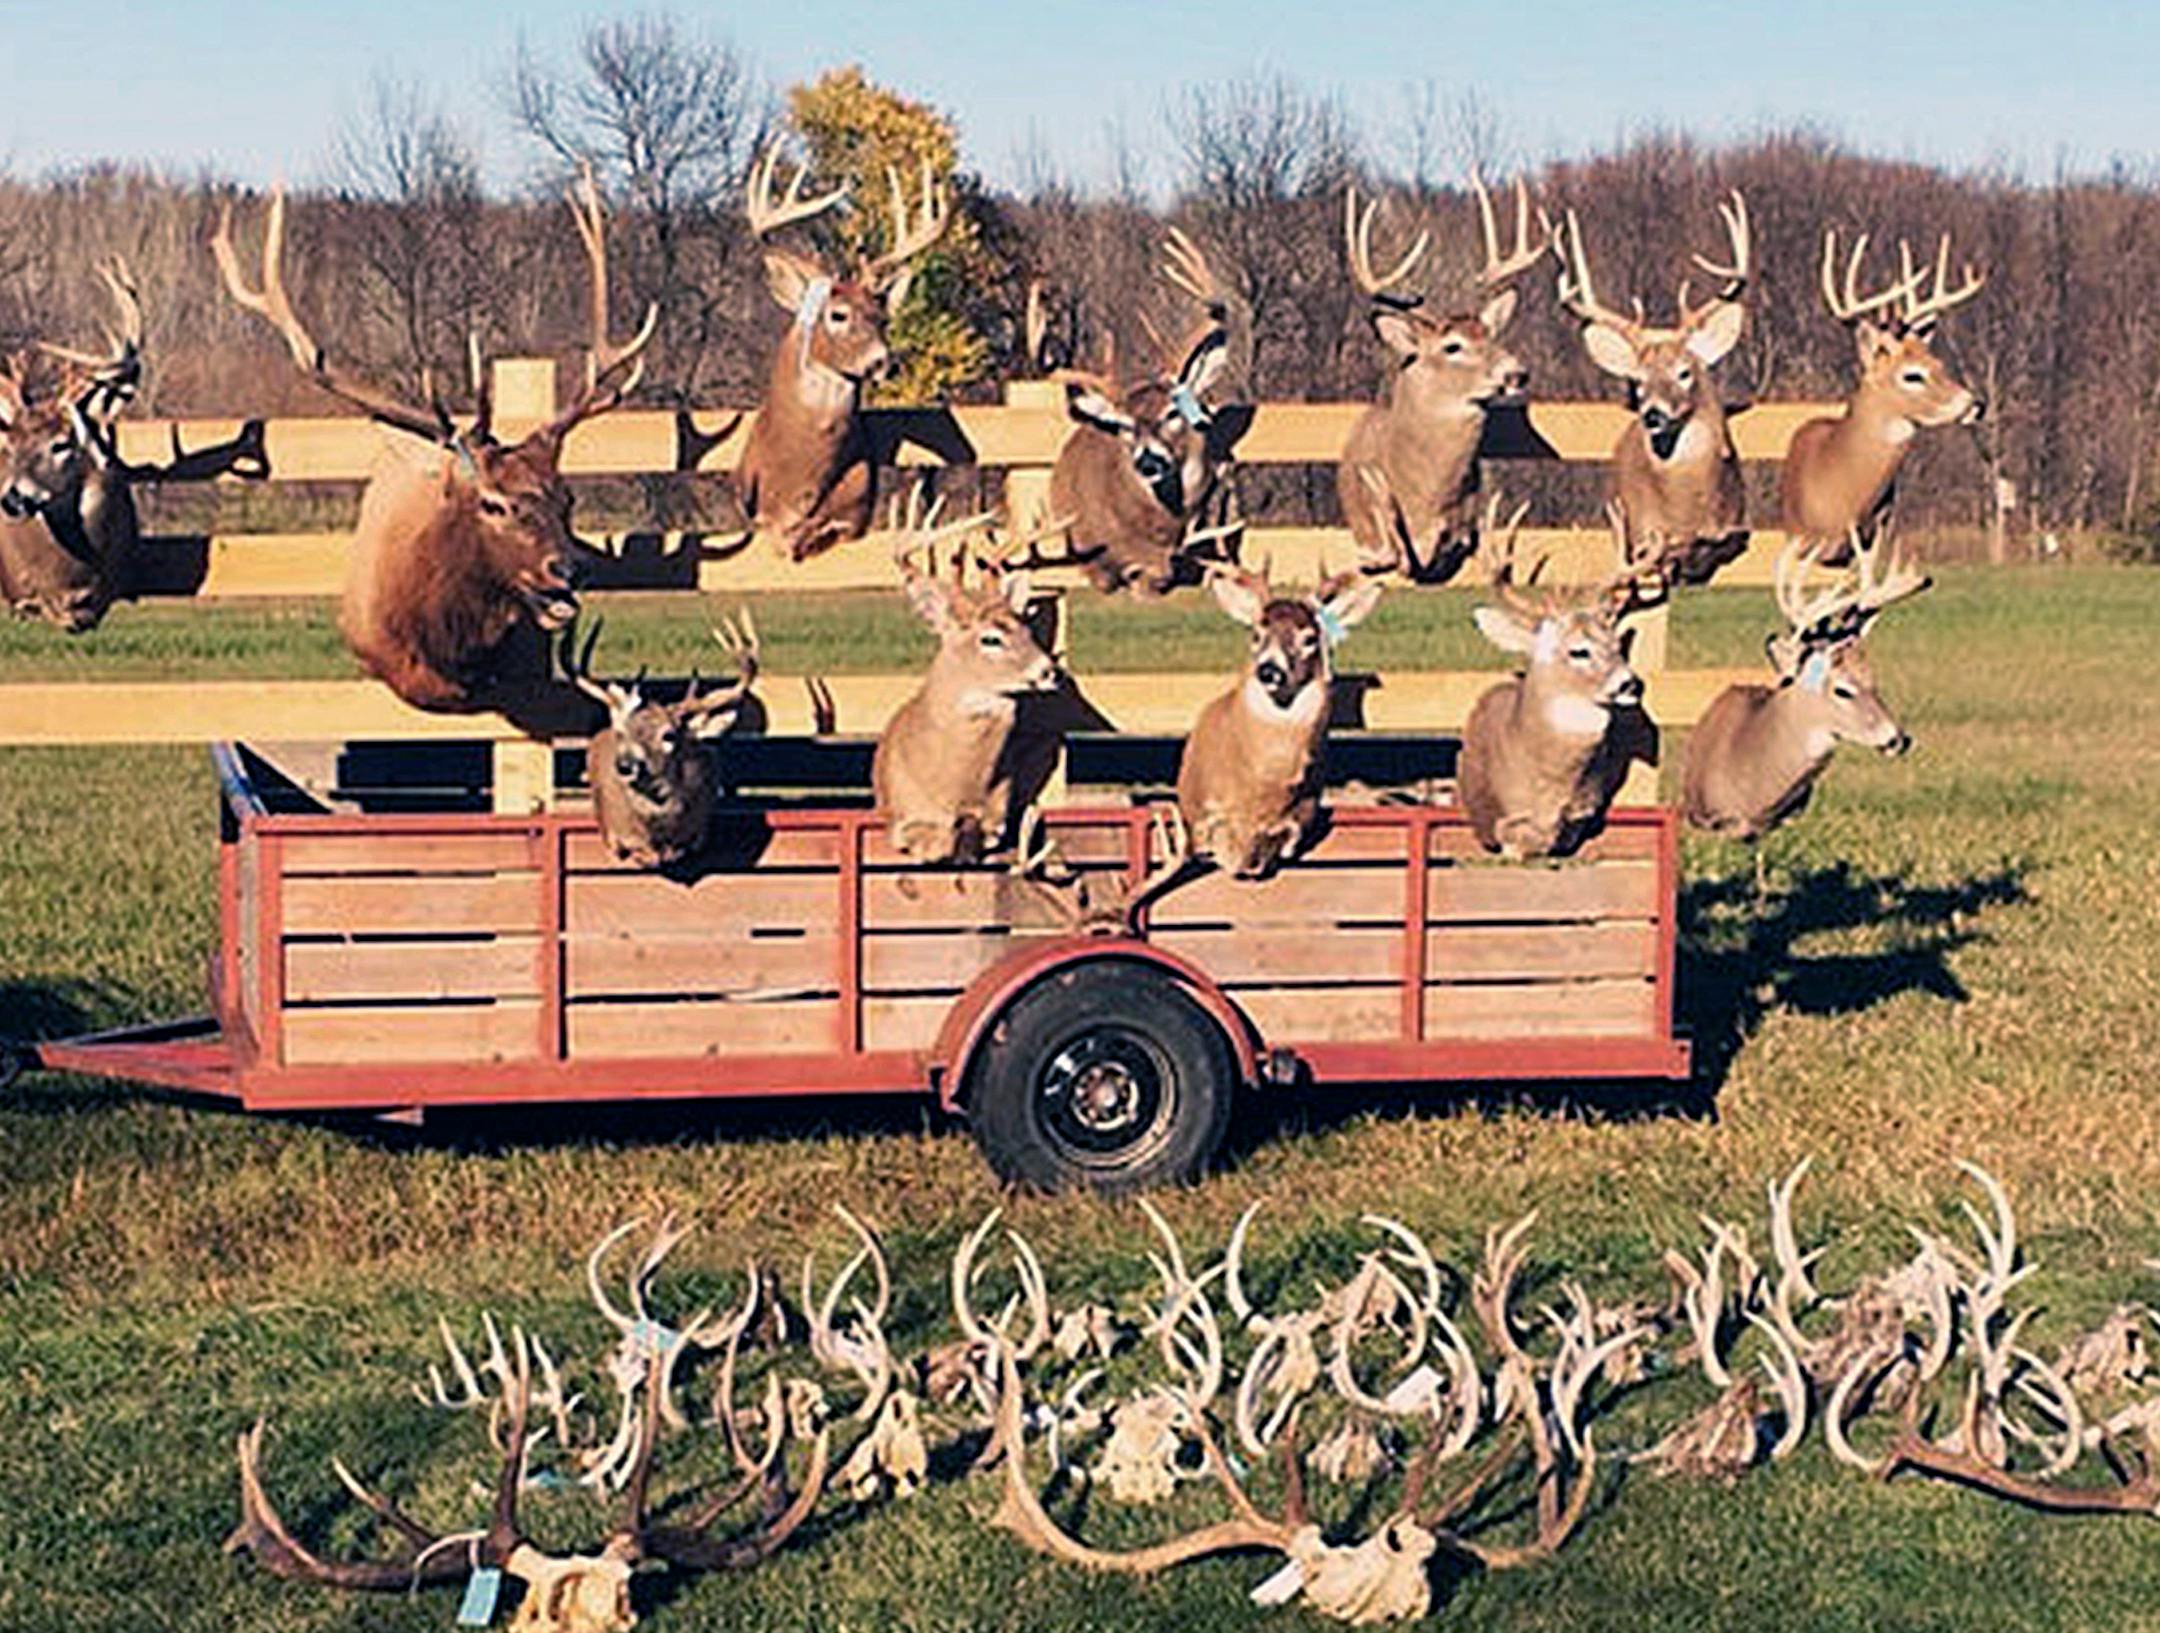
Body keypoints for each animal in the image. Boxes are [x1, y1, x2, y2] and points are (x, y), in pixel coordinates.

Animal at [873, 496, 1063, 864]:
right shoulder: (903, 821)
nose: (1048, 670)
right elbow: (936, 841)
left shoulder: (998, 815)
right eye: (990, 639)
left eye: (1026, 629)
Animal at [1458, 501, 1666, 859]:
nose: (1631, 684)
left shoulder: (1587, 812)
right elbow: (1518, 836)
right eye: (1578, 651)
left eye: (1616, 645)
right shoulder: (1503, 816)